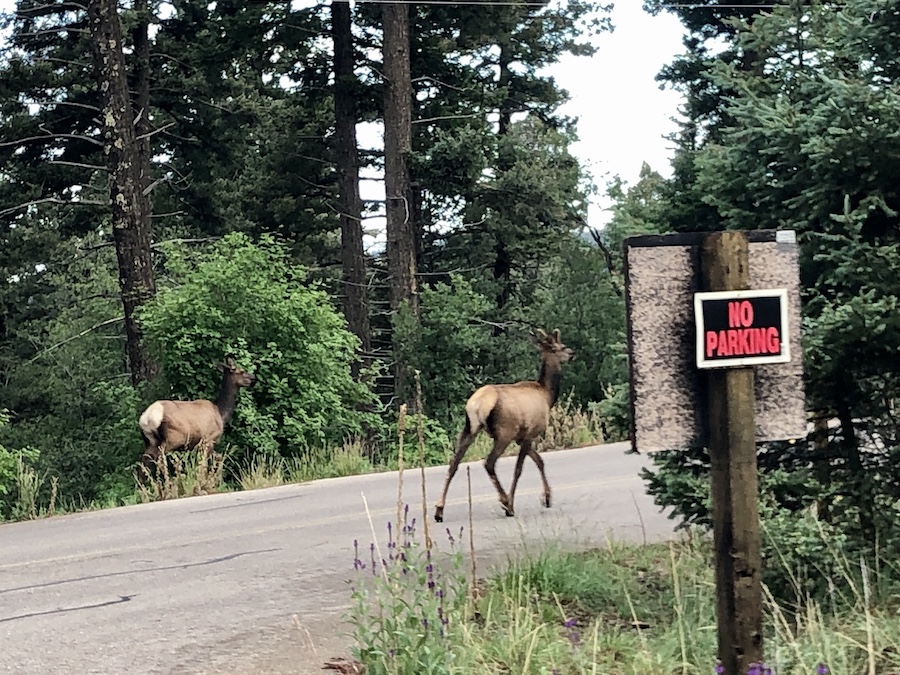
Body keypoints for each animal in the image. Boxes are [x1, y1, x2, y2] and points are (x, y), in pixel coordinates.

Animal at [436, 330, 576, 524]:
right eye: (557, 348)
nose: (572, 352)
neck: (548, 395)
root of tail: (476, 405)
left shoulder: (521, 438)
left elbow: (539, 461)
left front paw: (547, 498)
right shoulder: (530, 433)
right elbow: (519, 469)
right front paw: (513, 503)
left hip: (469, 429)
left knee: (453, 462)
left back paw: (439, 510)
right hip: (504, 432)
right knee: (489, 462)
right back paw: (505, 503)